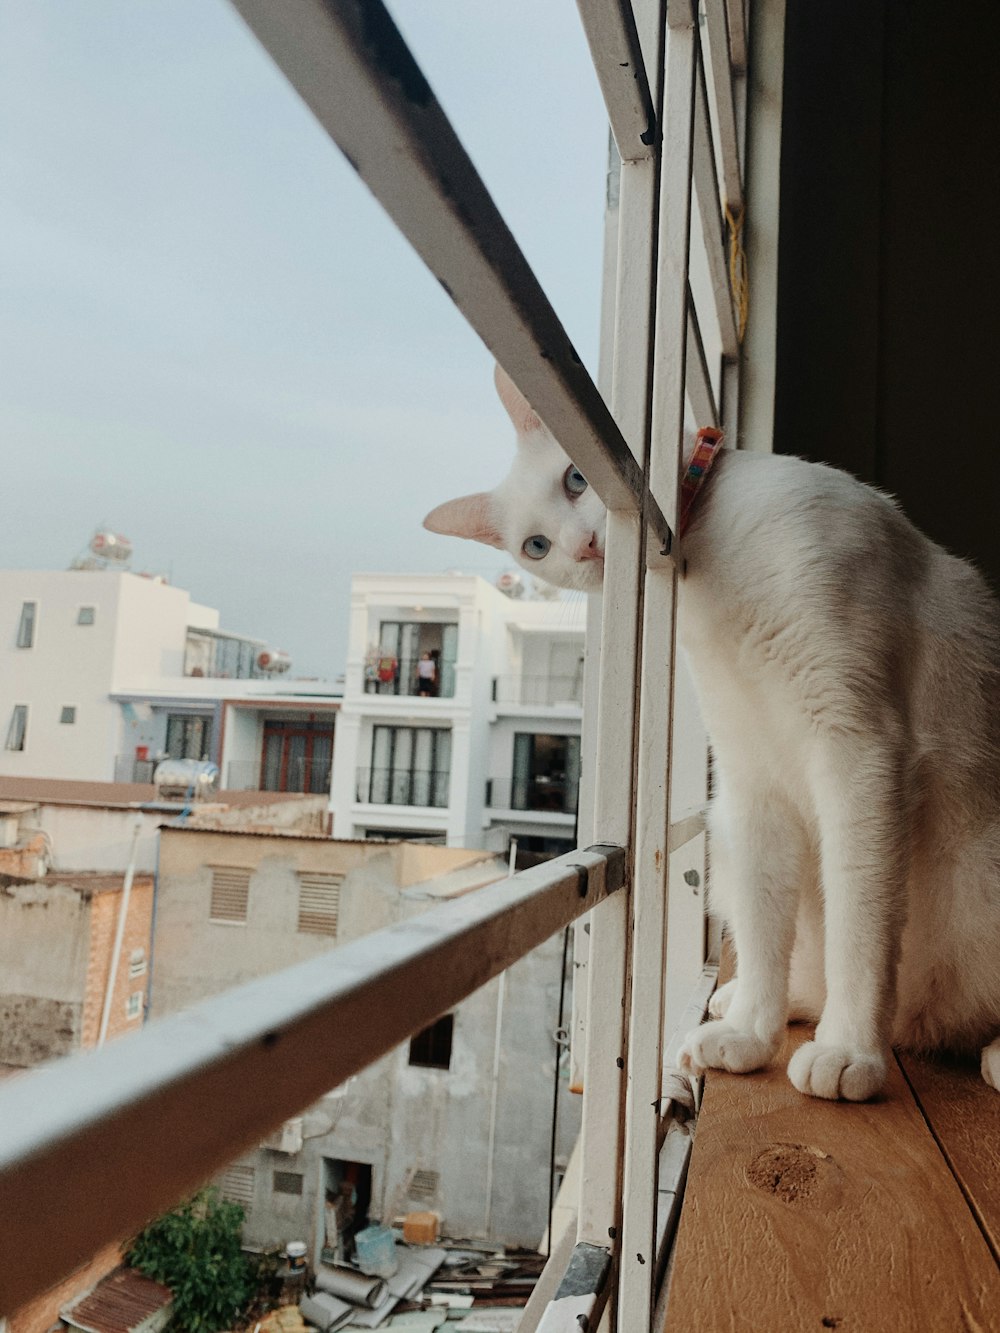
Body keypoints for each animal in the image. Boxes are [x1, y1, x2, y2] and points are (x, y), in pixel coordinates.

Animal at [426, 367, 1000, 1103]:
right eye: (537, 546)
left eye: (577, 480)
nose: (584, 546)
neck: (707, 561)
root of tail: (919, 1027)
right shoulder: (754, 784)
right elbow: (761, 927)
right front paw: (753, 1033)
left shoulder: (856, 750)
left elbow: (858, 923)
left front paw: (849, 1050)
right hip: (726, 826)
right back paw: (743, 1009)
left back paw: (988, 1051)